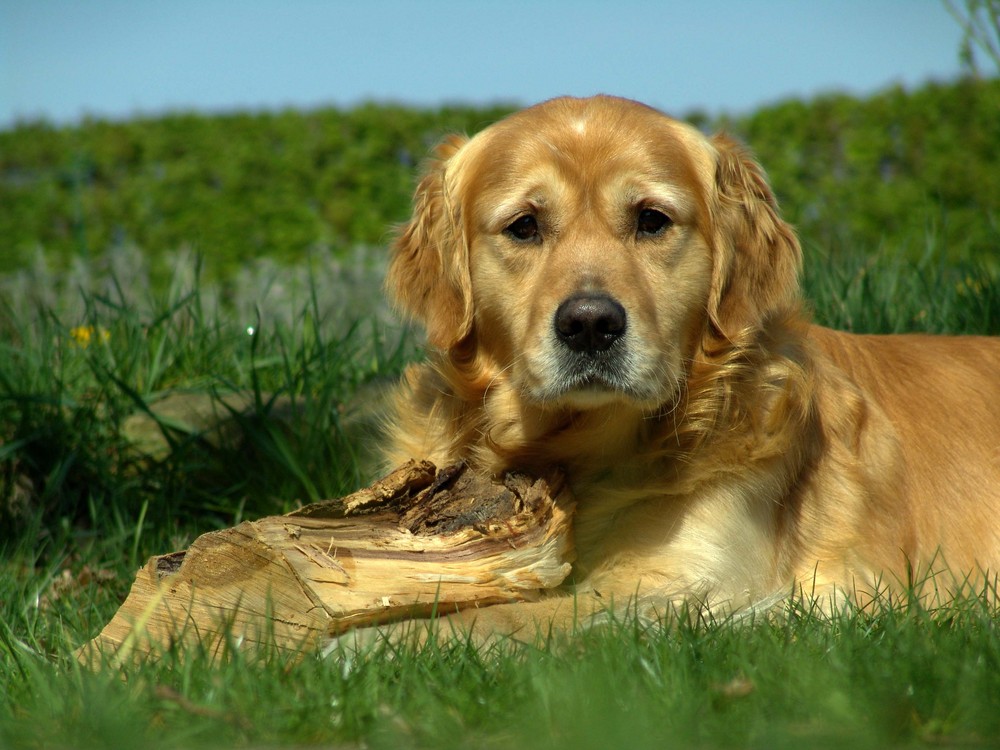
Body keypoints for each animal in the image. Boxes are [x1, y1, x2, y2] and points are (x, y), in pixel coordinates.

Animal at [378, 95, 996, 640]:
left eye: (652, 220)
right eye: (524, 226)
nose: (590, 325)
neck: (576, 452)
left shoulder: (690, 580)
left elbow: (503, 616)